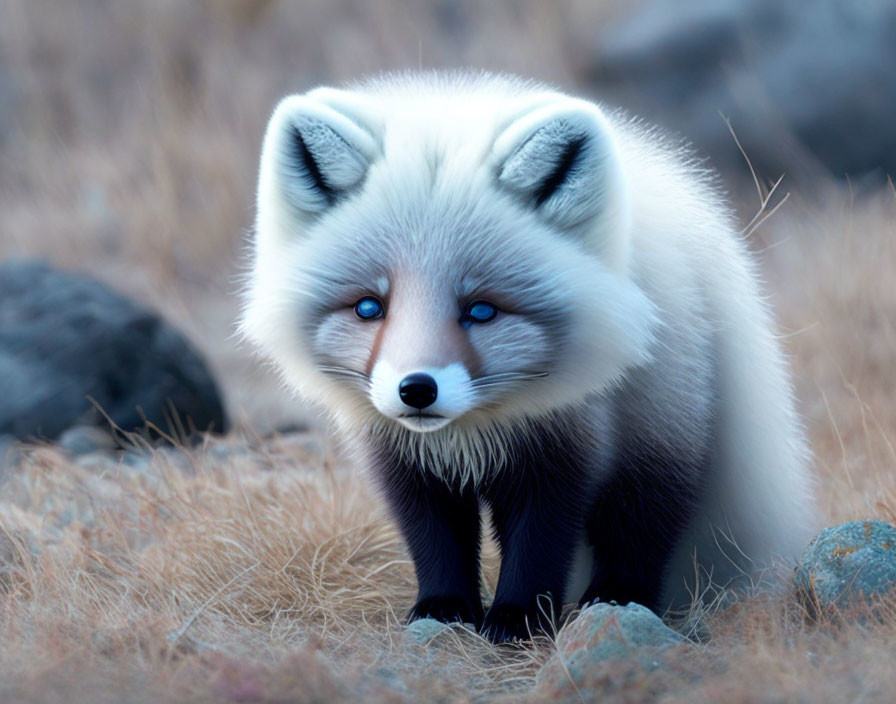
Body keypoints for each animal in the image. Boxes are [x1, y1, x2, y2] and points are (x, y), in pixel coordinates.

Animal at [242, 71, 816, 644]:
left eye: (481, 309)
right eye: (368, 307)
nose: (417, 389)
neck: (472, 432)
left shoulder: (564, 452)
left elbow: (538, 546)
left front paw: (518, 620)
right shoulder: (408, 464)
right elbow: (437, 544)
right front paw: (444, 612)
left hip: (661, 432)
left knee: (640, 529)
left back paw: (617, 600)